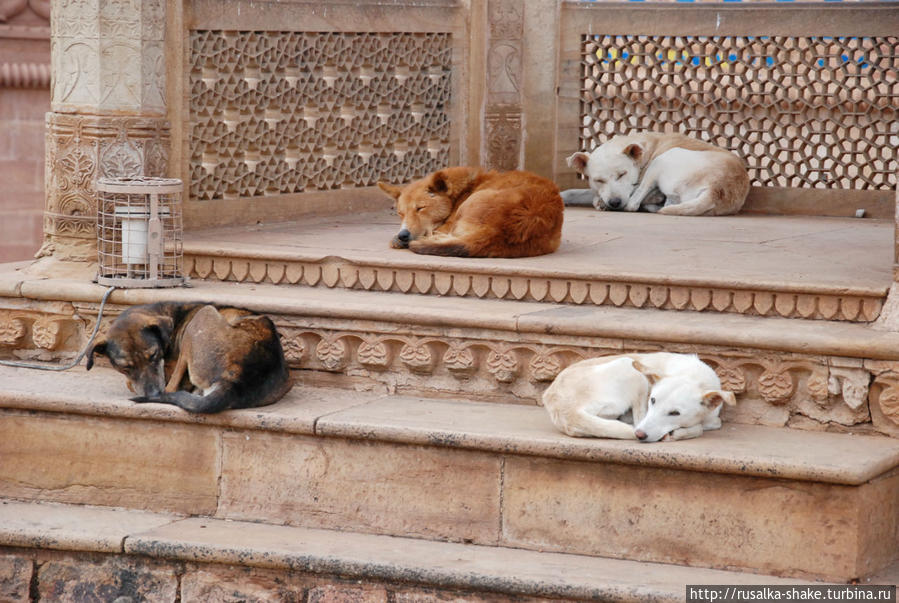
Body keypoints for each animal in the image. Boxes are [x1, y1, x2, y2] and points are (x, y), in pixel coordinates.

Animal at [87, 302, 292, 416]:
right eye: (125, 367)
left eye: (154, 355)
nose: (153, 394)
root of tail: (235, 381)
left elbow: (134, 384)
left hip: (201, 317)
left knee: (171, 388)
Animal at [544, 354, 736, 444]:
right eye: (653, 400)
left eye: (675, 413)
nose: (640, 435)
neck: (693, 377)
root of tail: (565, 409)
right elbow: (703, 427)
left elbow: (711, 422)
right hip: (630, 367)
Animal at [568, 133, 752, 217]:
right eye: (598, 180)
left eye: (622, 174)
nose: (614, 203)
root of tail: (716, 190)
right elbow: (577, 192)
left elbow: (631, 198)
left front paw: (600, 202)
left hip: (664, 158)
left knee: (633, 204)